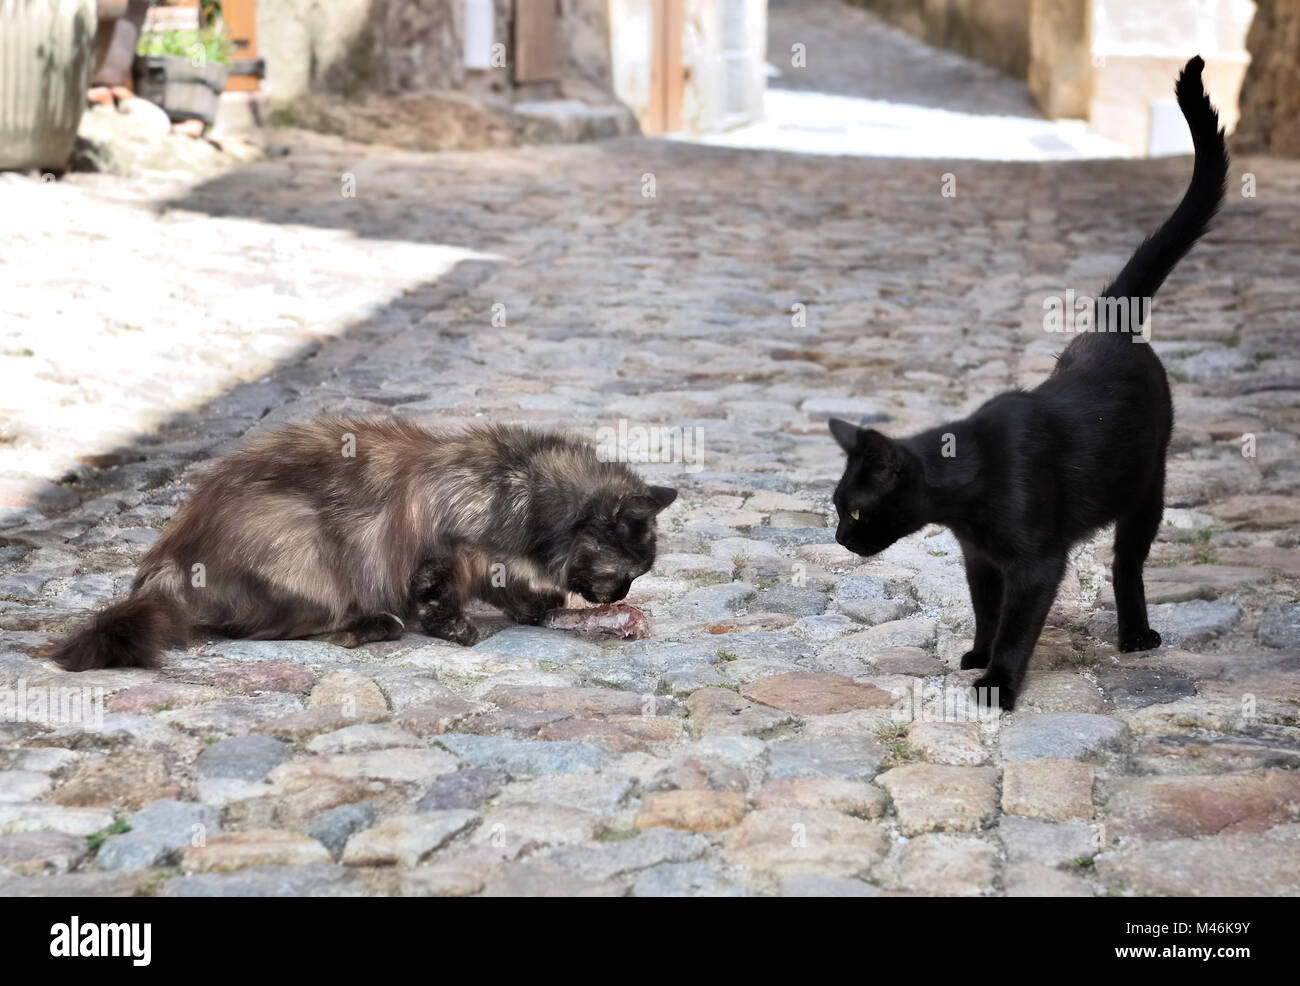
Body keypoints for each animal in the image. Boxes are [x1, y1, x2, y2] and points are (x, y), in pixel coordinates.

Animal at [45, 416, 676, 671]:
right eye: (629, 571)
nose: (621, 594)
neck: (522, 495)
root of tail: (168, 559)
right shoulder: (446, 552)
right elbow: (438, 598)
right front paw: (456, 631)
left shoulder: (500, 571)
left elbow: (531, 604)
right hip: (306, 545)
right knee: (277, 630)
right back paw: (374, 625)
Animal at [832, 57, 1227, 712]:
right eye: (836, 508)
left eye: (856, 512)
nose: (838, 539)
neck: (966, 502)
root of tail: (1112, 330)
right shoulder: (979, 560)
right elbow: (986, 612)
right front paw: (978, 653)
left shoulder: (1036, 564)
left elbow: (1018, 625)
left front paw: (998, 682)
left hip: (1147, 487)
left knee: (1127, 564)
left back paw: (1135, 636)